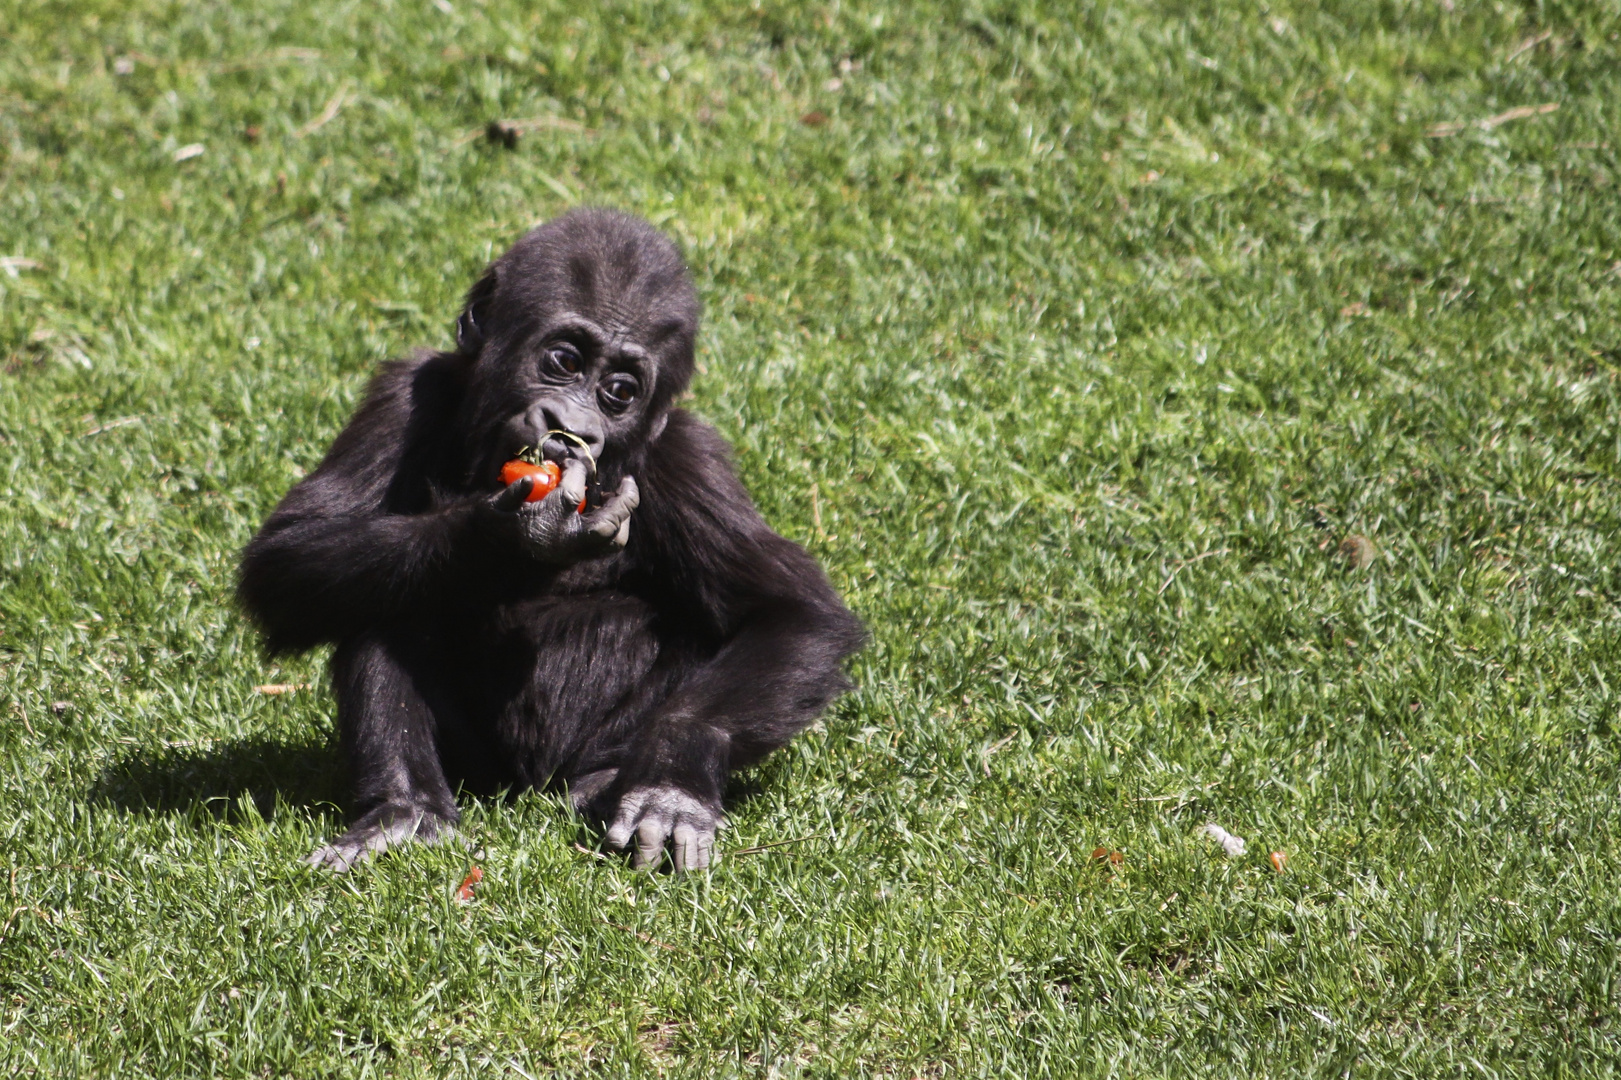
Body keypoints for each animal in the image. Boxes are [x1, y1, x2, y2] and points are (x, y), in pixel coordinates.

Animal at [236, 205, 862, 869]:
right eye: (563, 360)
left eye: (620, 392)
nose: (571, 428)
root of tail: (526, 790)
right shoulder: (403, 393)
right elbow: (291, 553)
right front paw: (508, 539)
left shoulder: (687, 459)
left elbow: (788, 614)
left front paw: (672, 783)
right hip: (478, 772)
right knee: (375, 596)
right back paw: (406, 811)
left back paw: (606, 780)